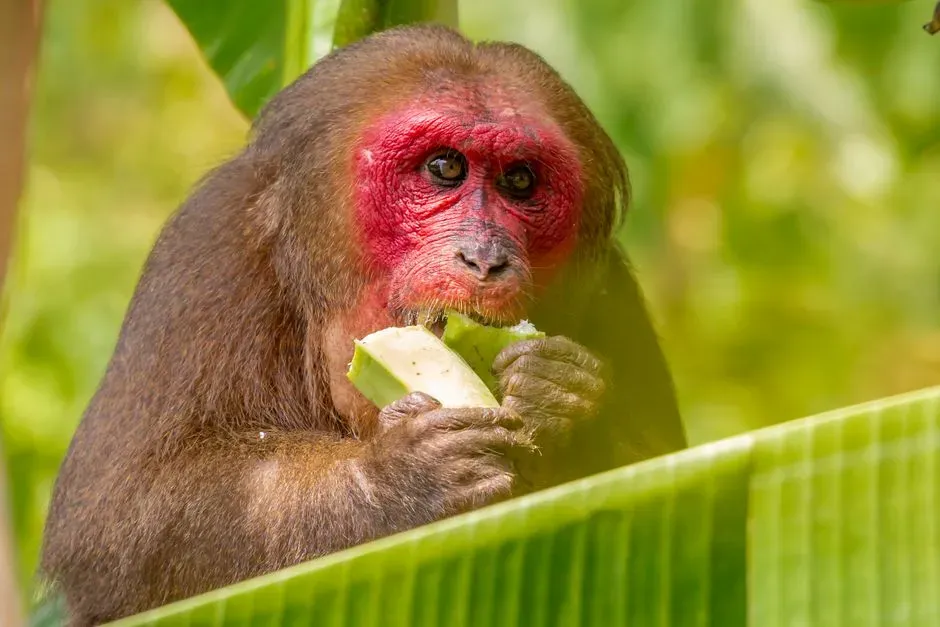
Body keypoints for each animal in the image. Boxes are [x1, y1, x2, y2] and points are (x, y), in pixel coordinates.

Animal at [38, 24, 686, 625]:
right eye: (445, 167)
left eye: (520, 180)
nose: (486, 256)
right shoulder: (206, 246)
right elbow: (124, 515)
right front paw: (397, 478)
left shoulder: (611, 289)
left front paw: (563, 401)